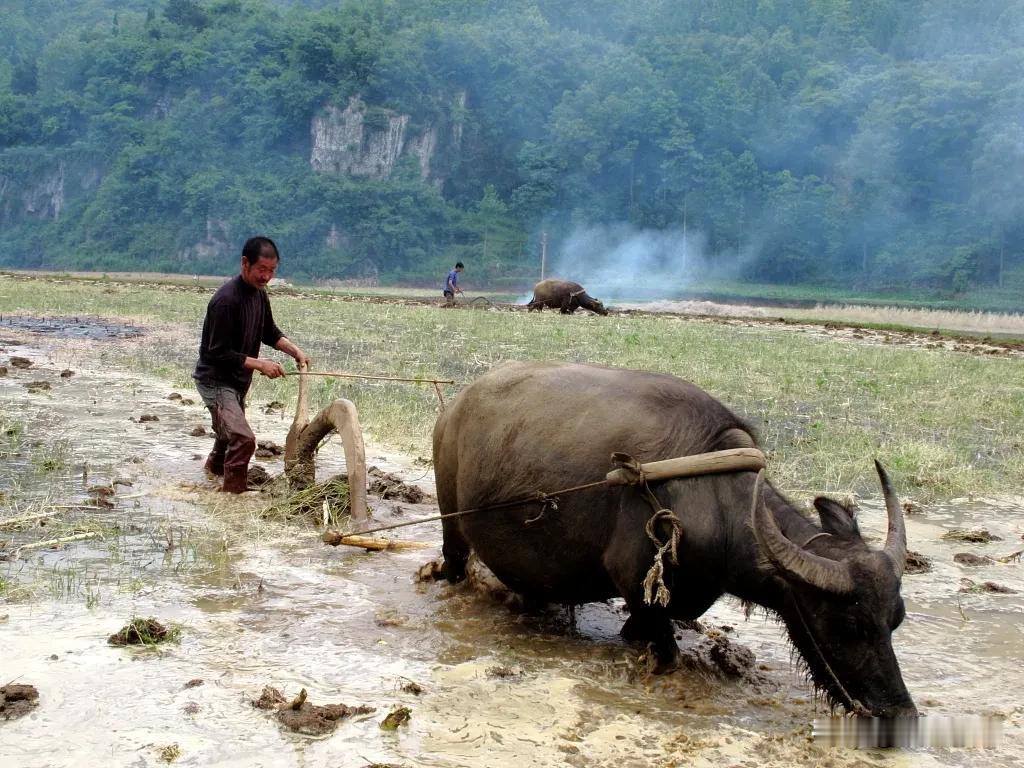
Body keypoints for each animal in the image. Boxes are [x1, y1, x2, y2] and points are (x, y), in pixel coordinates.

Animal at [436, 364, 917, 720]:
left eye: (895, 620)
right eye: (847, 625)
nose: (899, 713)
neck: (714, 497)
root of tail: (455, 407)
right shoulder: (635, 582)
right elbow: (666, 654)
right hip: (450, 520)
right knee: (454, 558)